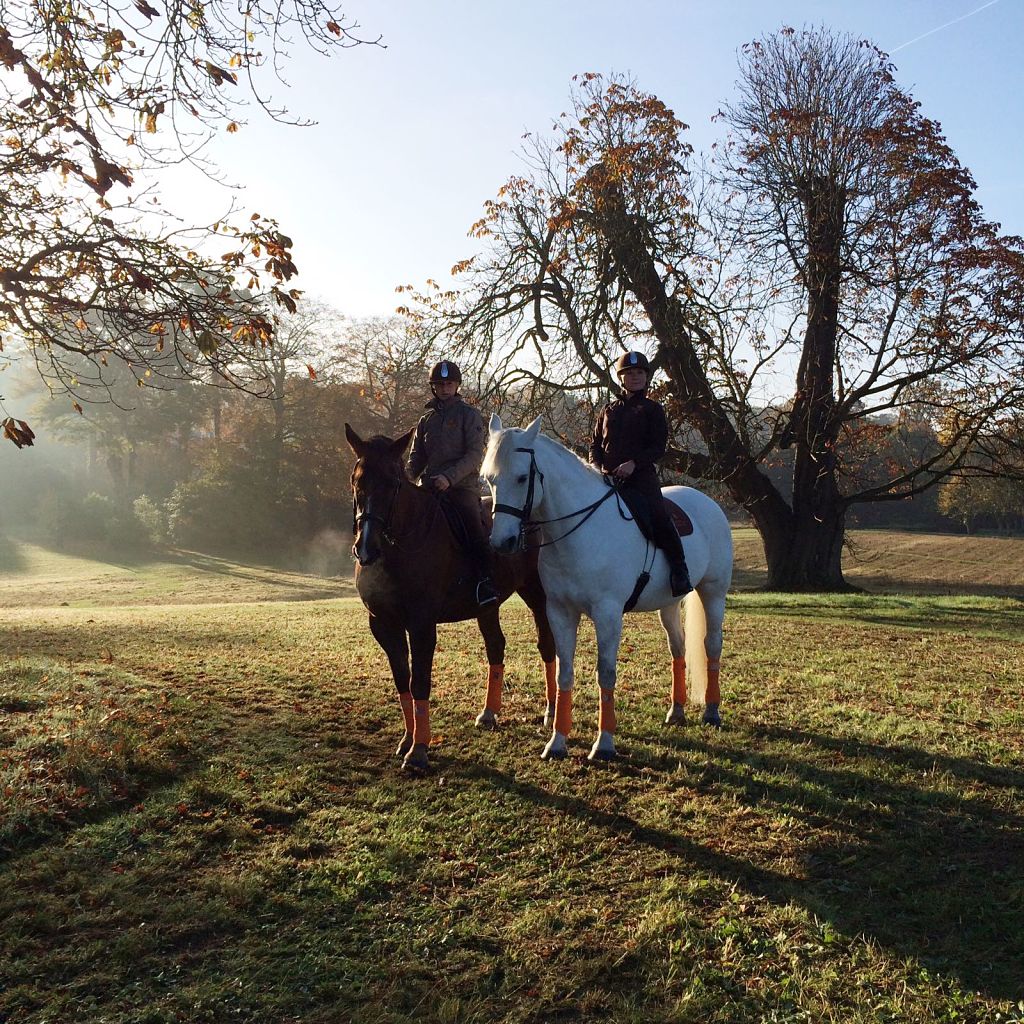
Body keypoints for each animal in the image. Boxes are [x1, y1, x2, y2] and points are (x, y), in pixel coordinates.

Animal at [345, 424, 557, 771]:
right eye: (357, 480)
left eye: (393, 482)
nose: (366, 548)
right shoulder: (383, 624)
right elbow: (402, 679)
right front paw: (407, 739)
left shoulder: (421, 625)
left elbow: (419, 681)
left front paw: (418, 751)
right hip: (488, 606)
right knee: (496, 646)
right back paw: (489, 713)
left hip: (537, 595)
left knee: (547, 646)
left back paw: (551, 714)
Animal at [483, 414, 733, 762]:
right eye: (490, 479)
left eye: (522, 478)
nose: (501, 542)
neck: (581, 532)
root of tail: (708, 503)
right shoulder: (559, 612)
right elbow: (564, 671)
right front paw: (557, 741)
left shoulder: (607, 615)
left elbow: (606, 673)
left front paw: (604, 744)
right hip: (669, 603)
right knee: (678, 648)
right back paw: (677, 710)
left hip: (713, 592)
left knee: (712, 645)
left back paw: (711, 711)